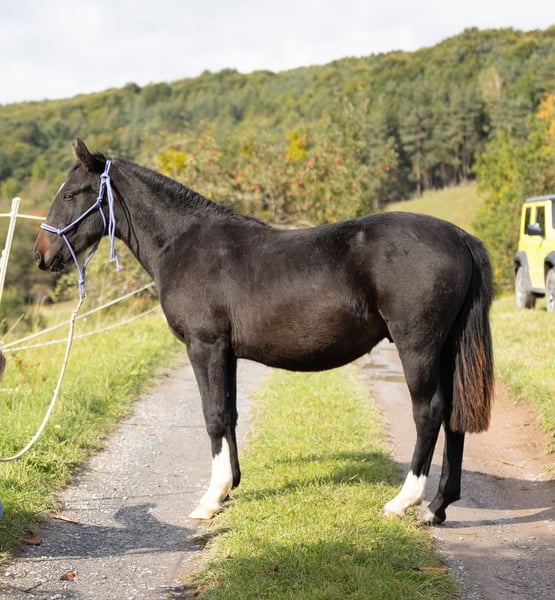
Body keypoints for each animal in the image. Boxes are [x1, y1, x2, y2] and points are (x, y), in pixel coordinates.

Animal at [34, 139, 494, 524]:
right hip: (448, 348)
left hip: (418, 346)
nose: (42, 254)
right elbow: (230, 413)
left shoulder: (205, 347)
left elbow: (214, 415)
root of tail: (458, 236)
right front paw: (229, 488)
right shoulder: (227, 353)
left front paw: (211, 498)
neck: (184, 244)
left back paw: (404, 501)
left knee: (429, 412)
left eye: (71, 194)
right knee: (453, 414)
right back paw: (436, 507)